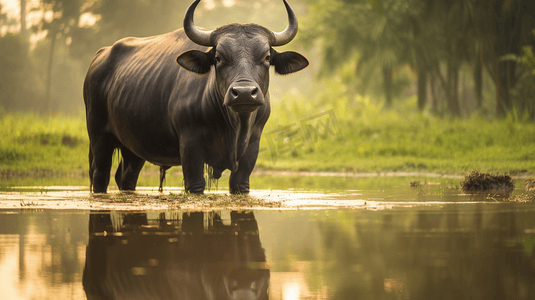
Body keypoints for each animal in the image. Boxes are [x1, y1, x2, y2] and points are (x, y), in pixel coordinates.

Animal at [84, 0, 310, 193]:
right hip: (98, 136)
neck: (233, 125)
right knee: (100, 175)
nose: (244, 93)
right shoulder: (190, 145)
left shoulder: (252, 146)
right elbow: (195, 185)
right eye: (218, 57)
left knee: (126, 177)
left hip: (135, 145)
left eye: (267, 57)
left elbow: (239, 184)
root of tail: (99, 57)